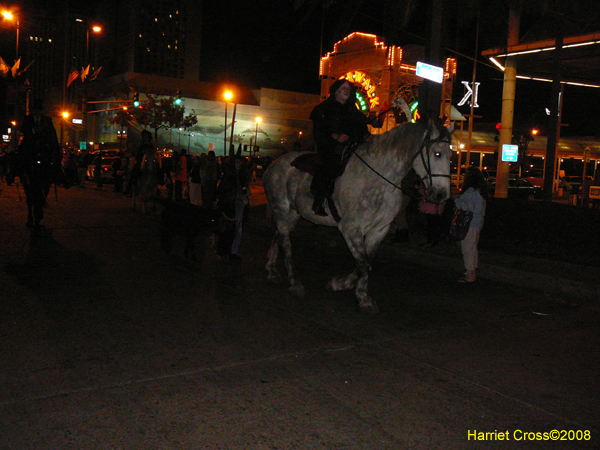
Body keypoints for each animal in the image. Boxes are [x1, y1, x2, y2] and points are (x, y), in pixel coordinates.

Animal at [264, 118, 452, 312]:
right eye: (437, 154)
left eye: (451, 156)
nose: (442, 195)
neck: (380, 178)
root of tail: (275, 163)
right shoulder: (350, 228)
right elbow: (364, 264)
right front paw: (356, 293)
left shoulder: (379, 230)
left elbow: (365, 262)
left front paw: (348, 288)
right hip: (280, 207)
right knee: (286, 243)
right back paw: (294, 282)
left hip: (293, 214)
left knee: (279, 236)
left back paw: (271, 270)